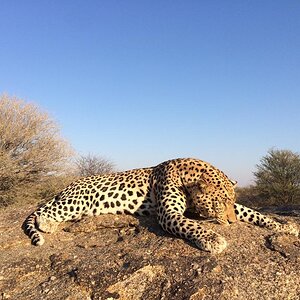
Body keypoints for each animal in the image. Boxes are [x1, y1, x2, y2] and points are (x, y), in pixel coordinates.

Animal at [24, 158, 298, 254]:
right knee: (46, 212)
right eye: (219, 204)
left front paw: (285, 226)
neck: (187, 176)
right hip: (78, 201)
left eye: (230, 202)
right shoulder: (169, 214)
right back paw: (47, 225)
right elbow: (190, 225)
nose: (231, 223)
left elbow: (253, 212)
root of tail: (65, 187)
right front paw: (213, 239)